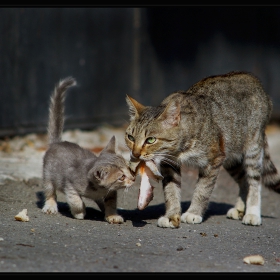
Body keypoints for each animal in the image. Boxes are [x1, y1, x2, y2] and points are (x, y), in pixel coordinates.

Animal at [41, 76, 137, 223]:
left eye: (128, 168)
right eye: (121, 177)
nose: (133, 179)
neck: (98, 189)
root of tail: (57, 142)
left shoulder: (111, 192)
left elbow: (110, 203)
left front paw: (112, 215)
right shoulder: (70, 184)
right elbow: (76, 200)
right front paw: (79, 213)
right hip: (48, 174)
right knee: (50, 191)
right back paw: (50, 206)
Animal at [125, 70, 280, 228]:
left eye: (150, 140)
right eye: (130, 137)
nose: (135, 154)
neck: (179, 149)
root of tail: (254, 79)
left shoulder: (213, 160)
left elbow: (202, 189)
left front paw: (193, 213)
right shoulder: (169, 165)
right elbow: (171, 190)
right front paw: (171, 215)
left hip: (252, 148)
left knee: (254, 181)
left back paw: (252, 213)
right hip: (231, 158)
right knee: (243, 180)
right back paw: (240, 208)